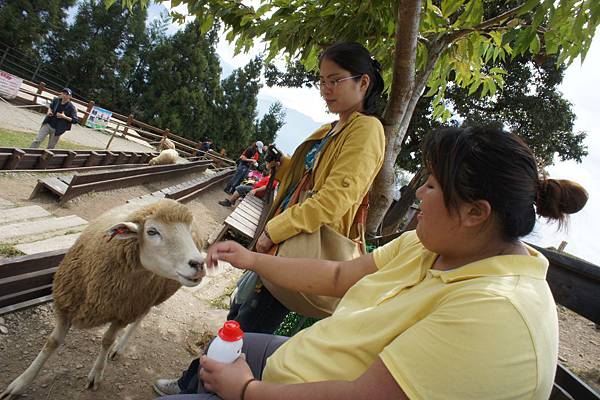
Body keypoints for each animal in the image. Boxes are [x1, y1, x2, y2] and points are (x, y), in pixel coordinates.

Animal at [1, 198, 206, 398]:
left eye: (187, 233)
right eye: (152, 231)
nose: (199, 264)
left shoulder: (123, 312)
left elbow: (107, 340)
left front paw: (96, 374)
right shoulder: (66, 303)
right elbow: (52, 342)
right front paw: (20, 383)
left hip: (150, 296)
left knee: (140, 317)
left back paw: (119, 348)